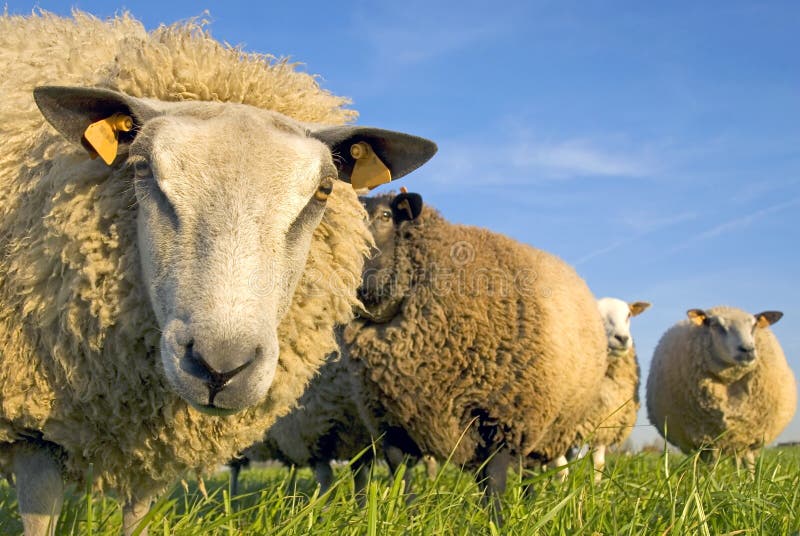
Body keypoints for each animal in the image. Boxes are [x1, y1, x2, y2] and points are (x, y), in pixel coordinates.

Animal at [0, 12, 438, 536]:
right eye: (142, 168)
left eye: (324, 190)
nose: (220, 368)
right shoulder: (36, 425)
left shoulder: (155, 443)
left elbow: (138, 514)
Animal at [344, 194, 608, 516]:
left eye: (384, 216)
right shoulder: (391, 422)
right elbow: (403, 481)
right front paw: (407, 516)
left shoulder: (501, 418)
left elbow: (495, 481)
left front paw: (495, 520)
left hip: (543, 428)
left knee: (528, 472)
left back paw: (529, 504)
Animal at [648, 306, 796, 468]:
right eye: (716, 325)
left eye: (754, 325)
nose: (747, 350)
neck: (730, 382)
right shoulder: (708, 437)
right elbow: (712, 464)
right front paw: (709, 476)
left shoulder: (750, 435)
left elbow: (749, 464)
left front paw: (750, 476)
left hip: (737, 439)